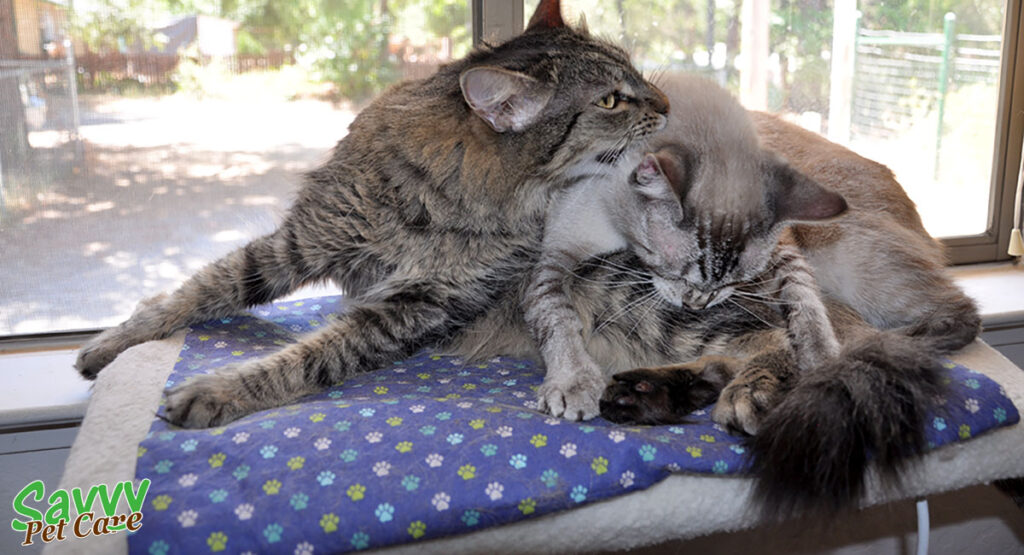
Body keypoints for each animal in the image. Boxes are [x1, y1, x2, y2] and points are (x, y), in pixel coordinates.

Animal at [77, 0, 671, 428]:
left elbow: (308, 357)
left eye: (637, 78)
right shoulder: (298, 242)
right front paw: (116, 340)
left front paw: (221, 390)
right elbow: (199, 290)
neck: (437, 197)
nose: (666, 105)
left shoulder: (415, 307)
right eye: (612, 101)